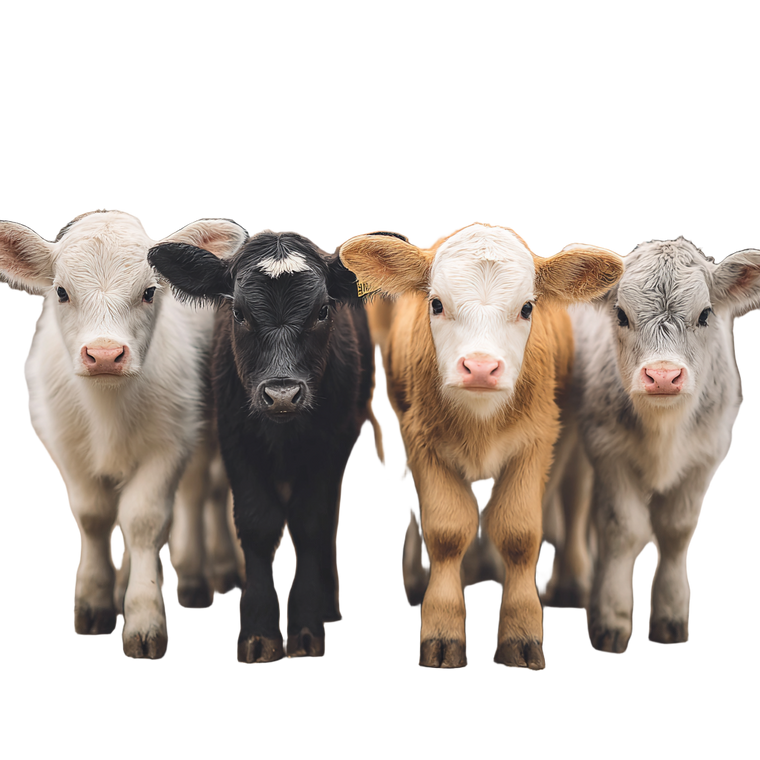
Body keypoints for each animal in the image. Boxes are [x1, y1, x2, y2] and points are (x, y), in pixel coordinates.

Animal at [0, 208, 247, 662]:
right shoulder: (66, 449)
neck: (107, 410)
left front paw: (145, 621)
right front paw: (95, 603)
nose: (104, 355)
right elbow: (93, 516)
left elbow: (144, 520)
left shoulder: (169, 445)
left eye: (149, 291)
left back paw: (202, 575)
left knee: (202, 492)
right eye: (61, 292)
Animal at [147, 226, 376, 665]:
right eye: (239, 313)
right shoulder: (236, 441)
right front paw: (259, 631)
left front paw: (306, 625)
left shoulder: (331, 443)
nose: (283, 394)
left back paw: (328, 605)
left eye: (323, 311)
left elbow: (311, 521)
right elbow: (257, 522)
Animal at [339, 219, 623, 671]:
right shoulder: (422, 440)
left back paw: (570, 582)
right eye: (436, 304)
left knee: (574, 496)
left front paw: (522, 634)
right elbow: (447, 530)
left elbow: (519, 532)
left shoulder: (536, 440)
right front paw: (441, 629)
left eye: (527, 308)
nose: (480, 367)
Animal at [551, 234, 760, 655]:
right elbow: (622, 528)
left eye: (705, 315)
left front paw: (671, 616)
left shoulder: (706, 454)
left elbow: (676, 530)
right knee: (573, 497)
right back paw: (569, 583)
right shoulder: (608, 449)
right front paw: (611, 619)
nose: (663, 376)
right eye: (621, 315)